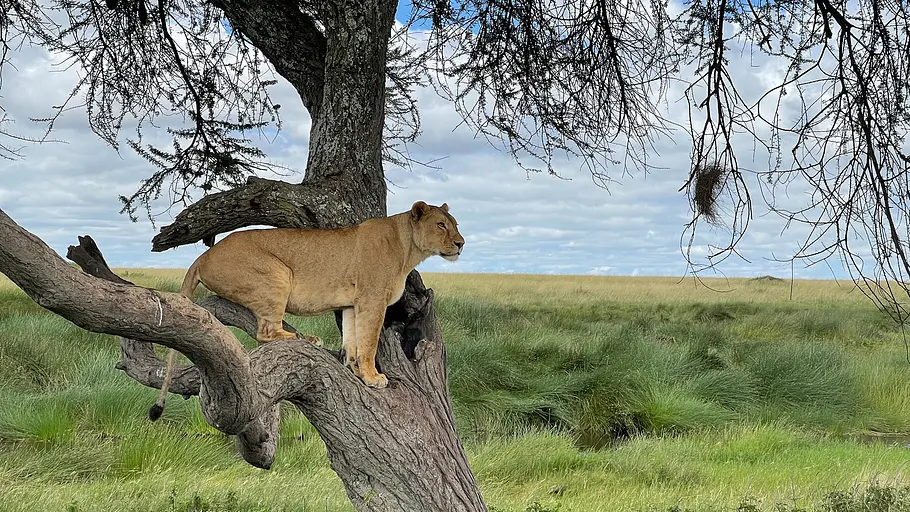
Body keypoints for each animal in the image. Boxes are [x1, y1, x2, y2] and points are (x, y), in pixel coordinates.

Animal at [148, 201, 464, 420]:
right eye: (441, 225)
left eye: (455, 224)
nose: (461, 244)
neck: (407, 247)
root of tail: (203, 255)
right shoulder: (372, 299)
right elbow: (369, 342)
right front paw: (373, 377)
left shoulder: (353, 303)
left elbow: (353, 339)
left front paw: (354, 368)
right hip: (276, 273)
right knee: (266, 332)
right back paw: (302, 339)